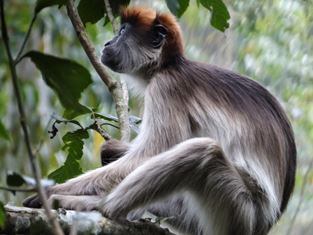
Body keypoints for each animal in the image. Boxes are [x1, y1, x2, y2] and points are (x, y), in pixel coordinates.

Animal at [23, 6, 294, 235]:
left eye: (122, 31)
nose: (108, 42)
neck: (168, 66)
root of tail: (264, 225)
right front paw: (113, 149)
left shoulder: (166, 88)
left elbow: (149, 154)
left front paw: (50, 190)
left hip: (240, 211)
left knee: (202, 152)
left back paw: (100, 206)